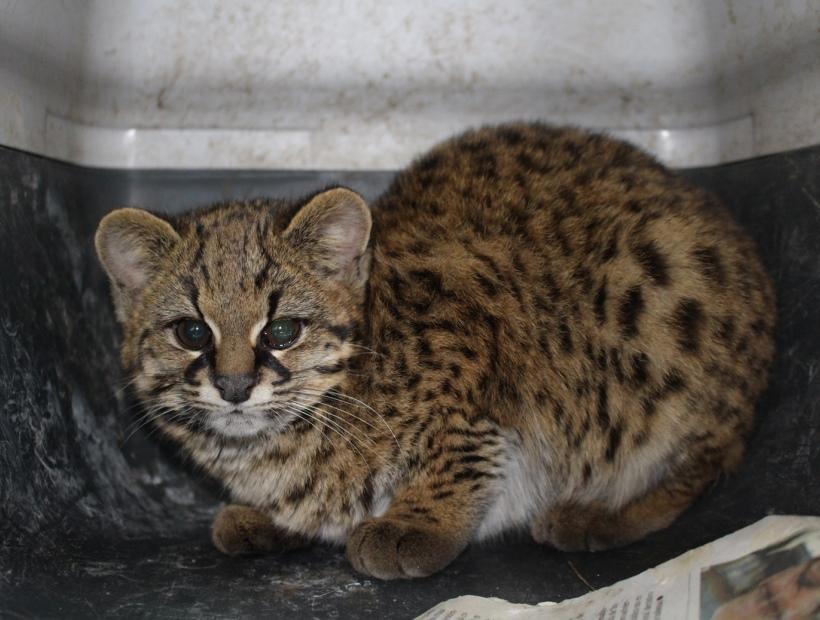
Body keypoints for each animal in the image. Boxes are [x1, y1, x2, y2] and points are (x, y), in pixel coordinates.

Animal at [96, 123, 776, 580]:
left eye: (282, 331)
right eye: (192, 333)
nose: (235, 387)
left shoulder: (483, 340)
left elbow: (459, 452)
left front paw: (416, 522)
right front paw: (273, 517)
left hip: (662, 310)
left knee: (696, 466)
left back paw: (596, 515)